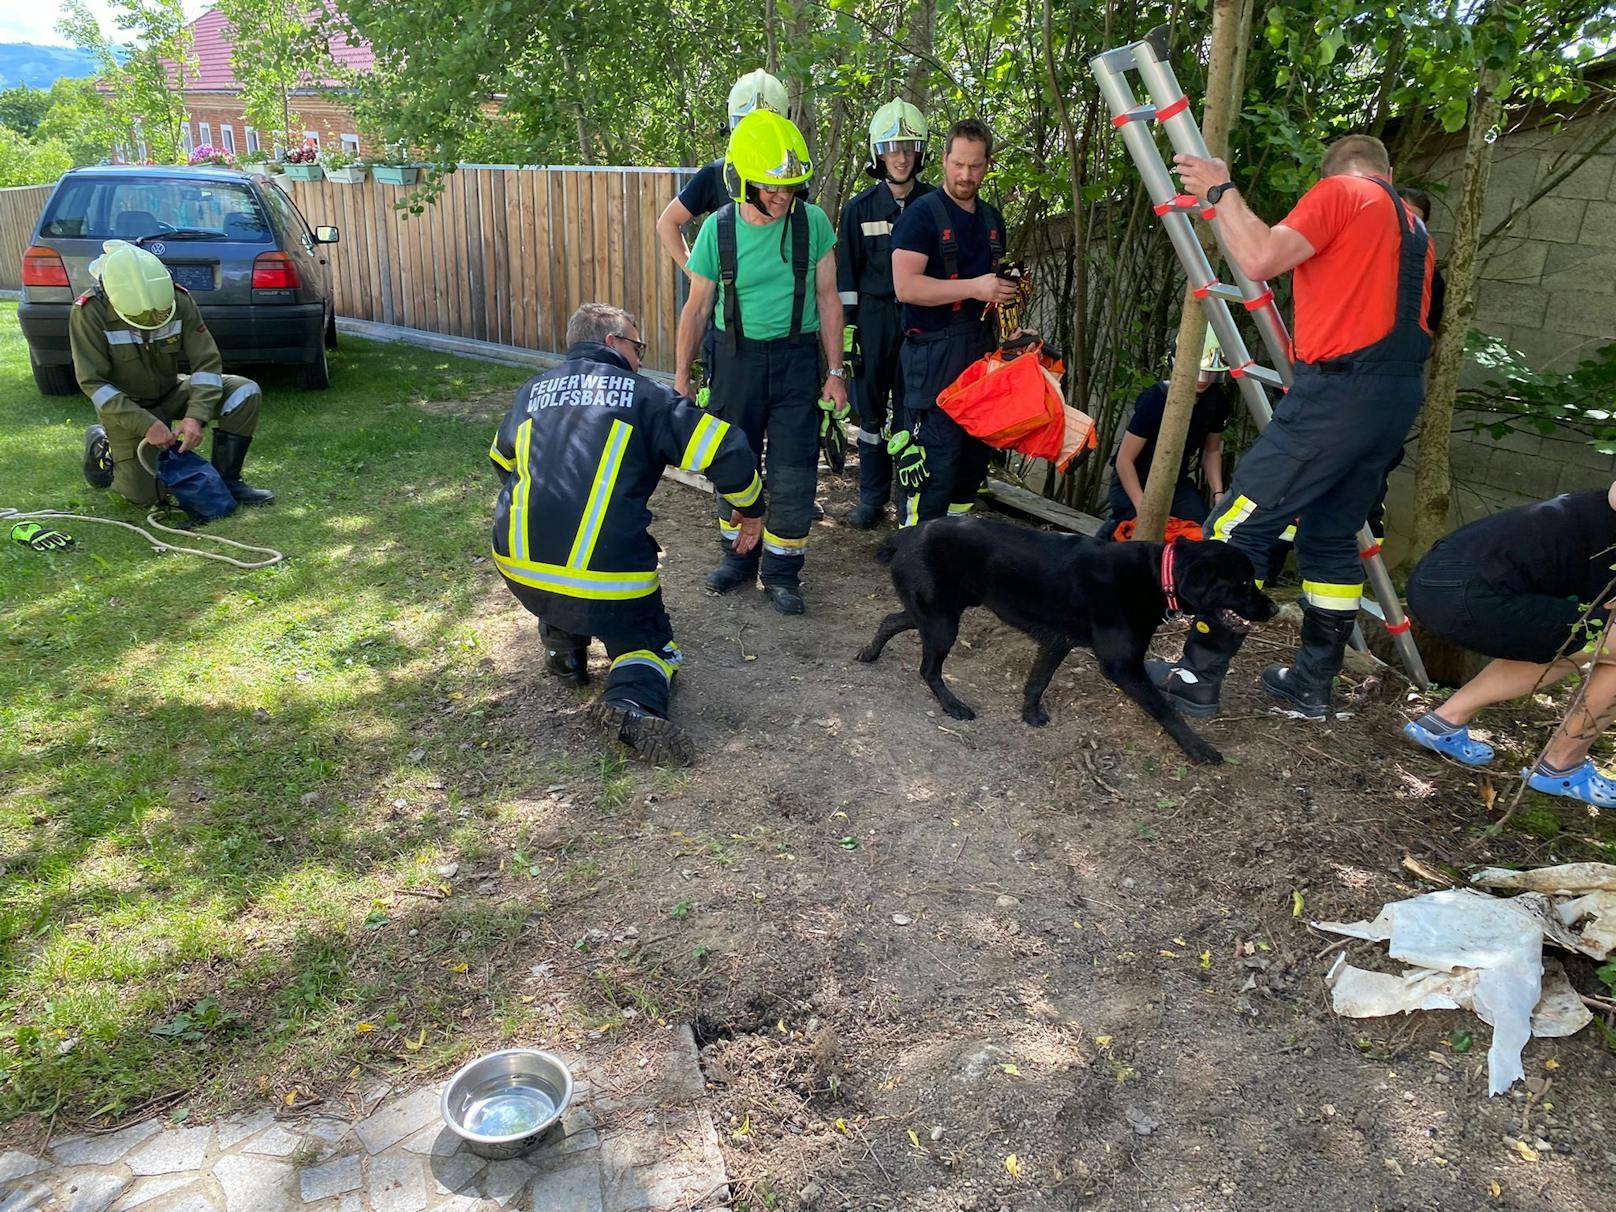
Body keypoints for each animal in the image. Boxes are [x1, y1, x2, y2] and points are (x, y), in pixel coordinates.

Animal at [859, 517, 1273, 762]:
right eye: (1243, 583)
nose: (1273, 608)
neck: (1158, 576)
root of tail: (912, 531)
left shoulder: (1058, 641)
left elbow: (1037, 682)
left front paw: (1030, 715)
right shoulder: (1122, 667)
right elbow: (1167, 710)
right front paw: (1198, 747)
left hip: (937, 614)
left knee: (891, 619)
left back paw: (869, 652)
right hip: (944, 623)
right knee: (928, 669)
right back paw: (953, 705)